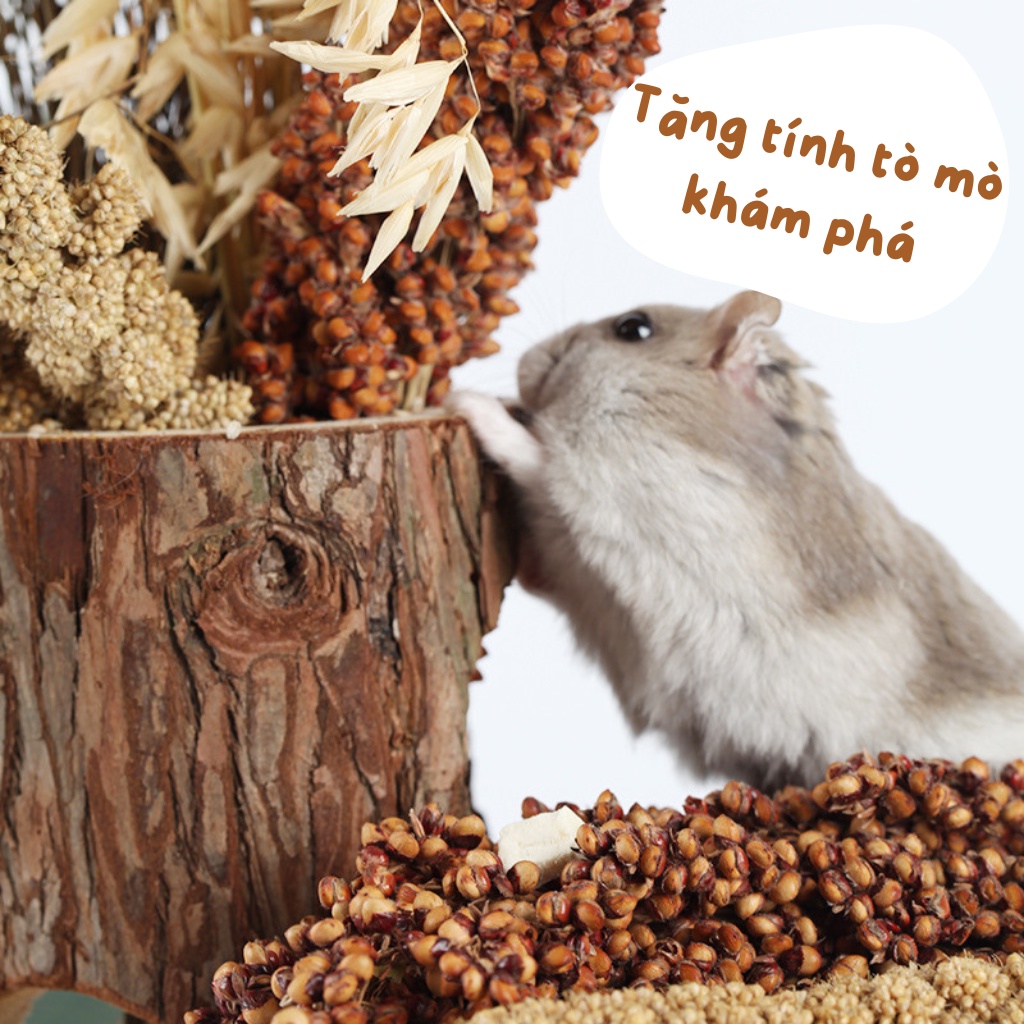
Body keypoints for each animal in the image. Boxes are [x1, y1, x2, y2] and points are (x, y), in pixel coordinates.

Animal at [449, 291, 1024, 789]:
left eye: (633, 328)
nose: (526, 360)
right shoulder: (586, 582)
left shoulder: (612, 500)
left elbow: (535, 462)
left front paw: (470, 401)